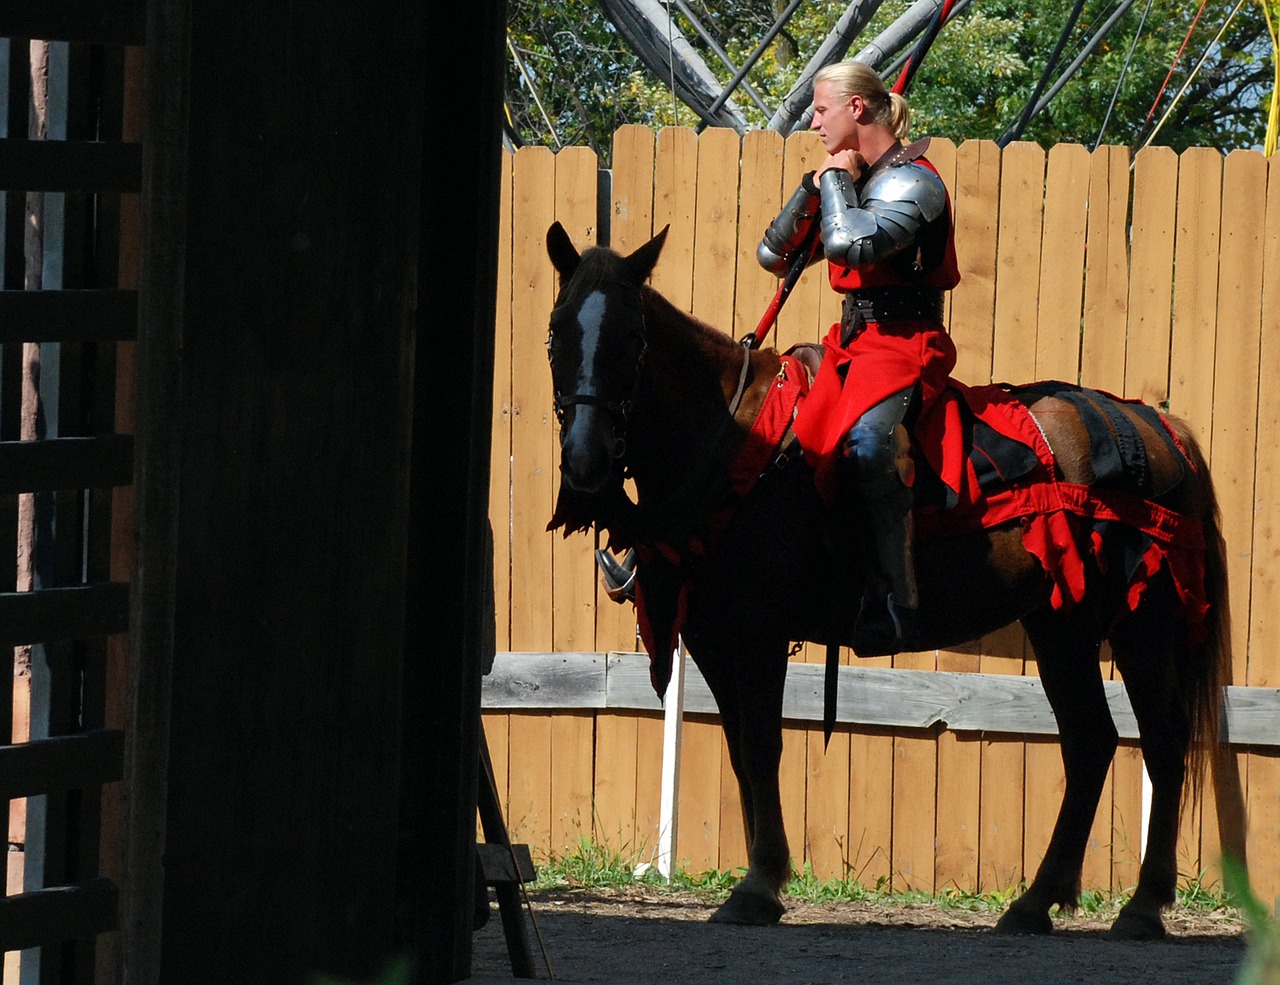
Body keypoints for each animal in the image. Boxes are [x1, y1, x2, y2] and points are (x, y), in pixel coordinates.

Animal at [545, 220, 1244, 936]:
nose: (585, 462)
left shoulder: (758, 628)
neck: (735, 442)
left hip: (1143, 623)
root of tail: (1161, 428)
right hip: (1062, 624)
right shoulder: (713, 636)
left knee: (1161, 742)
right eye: (557, 332)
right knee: (1091, 744)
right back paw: (1036, 901)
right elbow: (741, 748)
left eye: (632, 338)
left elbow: (762, 744)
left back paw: (1143, 906)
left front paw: (759, 885)